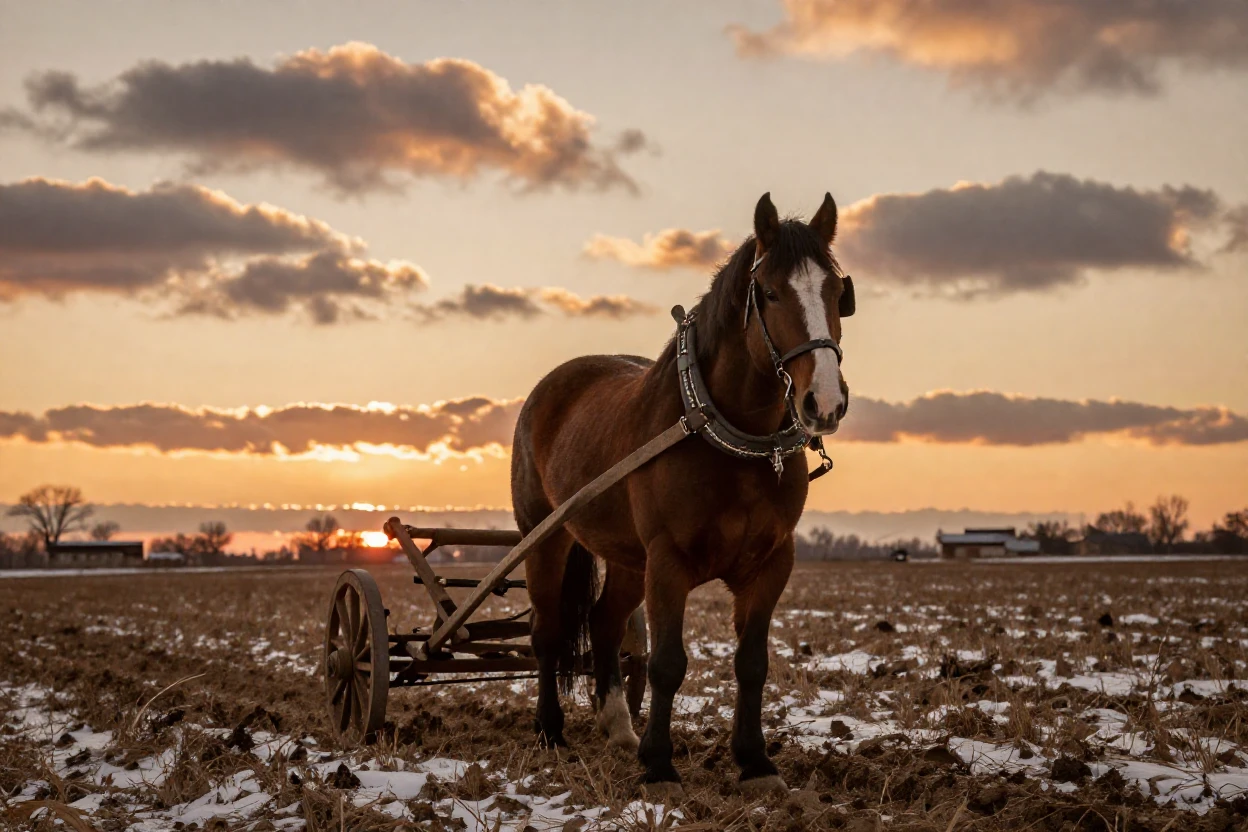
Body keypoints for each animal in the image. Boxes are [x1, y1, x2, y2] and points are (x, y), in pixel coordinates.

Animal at [510, 192, 854, 794]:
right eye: (769, 292)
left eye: (837, 292)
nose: (825, 402)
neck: (728, 435)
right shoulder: (667, 561)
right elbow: (667, 663)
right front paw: (660, 767)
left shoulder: (771, 562)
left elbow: (752, 663)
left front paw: (755, 762)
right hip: (544, 538)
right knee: (547, 632)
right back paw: (551, 730)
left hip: (628, 558)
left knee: (603, 624)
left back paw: (619, 729)